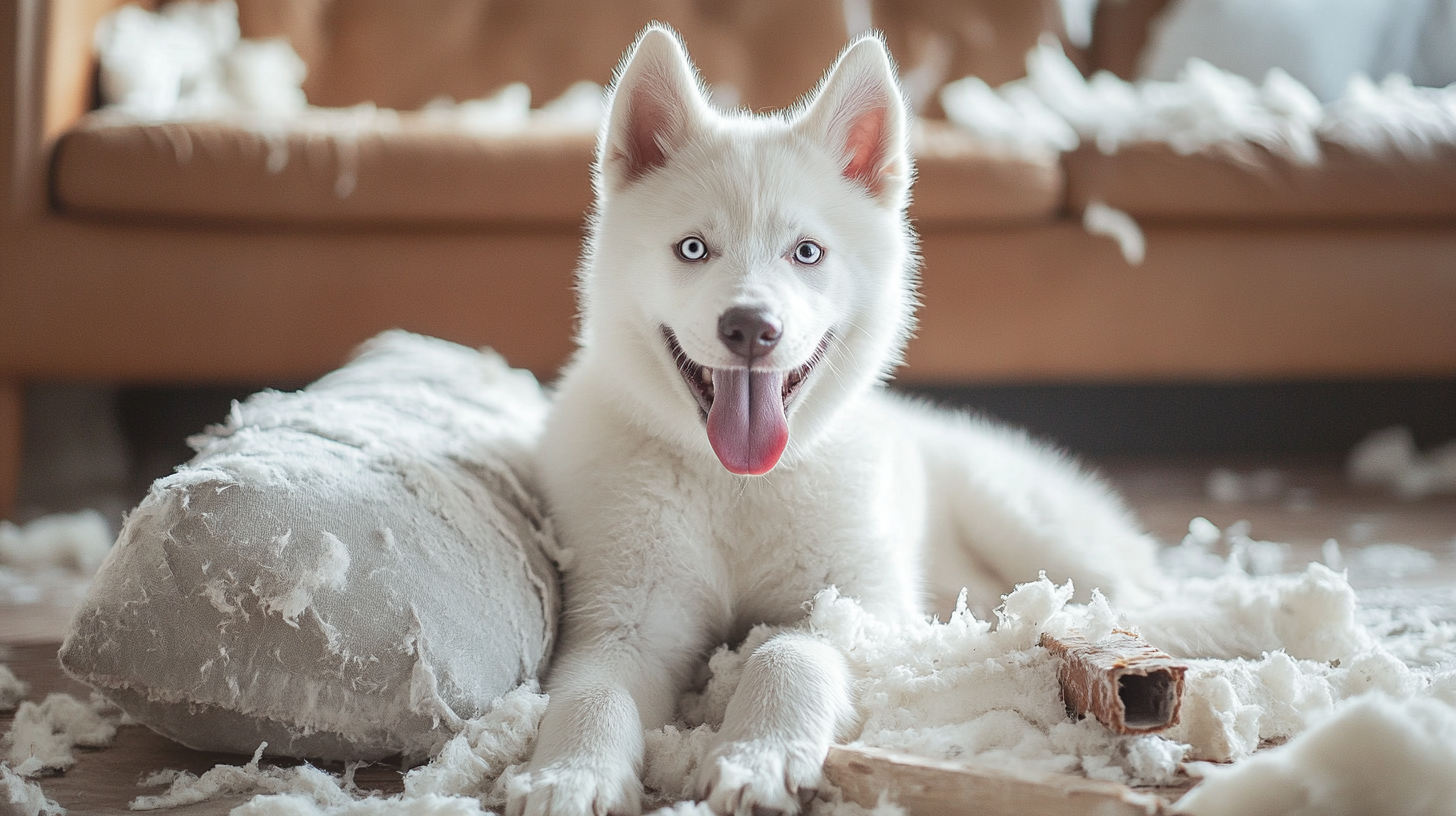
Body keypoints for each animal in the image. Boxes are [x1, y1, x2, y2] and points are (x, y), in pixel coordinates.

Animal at [512, 23, 1158, 816]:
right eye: (693, 248)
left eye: (807, 252)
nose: (750, 329)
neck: (737, 485)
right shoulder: (624, 621)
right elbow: (592, 694)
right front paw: (571, 774)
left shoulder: (861, 606)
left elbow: (788, 650)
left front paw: (756, 755)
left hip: (1033, 523)